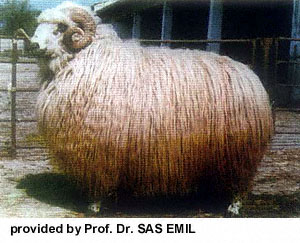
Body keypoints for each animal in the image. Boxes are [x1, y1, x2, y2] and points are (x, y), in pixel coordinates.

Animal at [31, 1, 274, 215]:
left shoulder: (99, 148)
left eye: (60, 28)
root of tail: (249, 75)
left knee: (241, 182)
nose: (33, 45)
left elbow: (98, 181)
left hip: (240, 150)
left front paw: (94, 206)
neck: (89, 60)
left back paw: (233, 208)